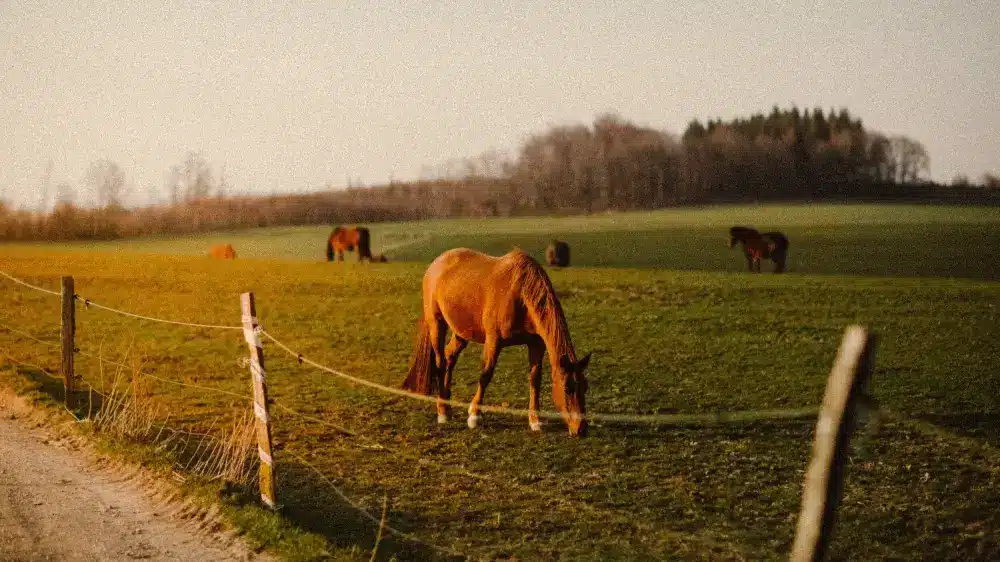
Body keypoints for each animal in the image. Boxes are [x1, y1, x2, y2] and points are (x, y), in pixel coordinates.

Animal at [401, 248, 592, 437]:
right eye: (567, 388)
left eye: (585, 387)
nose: (581, 428)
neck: (520, 294)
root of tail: (436, 263)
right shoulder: (494, 340)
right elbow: (486, 375)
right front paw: (474, 415)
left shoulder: (536, 344)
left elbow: (535, 379)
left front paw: (535, 421)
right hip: (437, 323)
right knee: (440, 362)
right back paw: (442, 411)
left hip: (461, 333)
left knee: (450, 357)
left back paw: (447, 405)